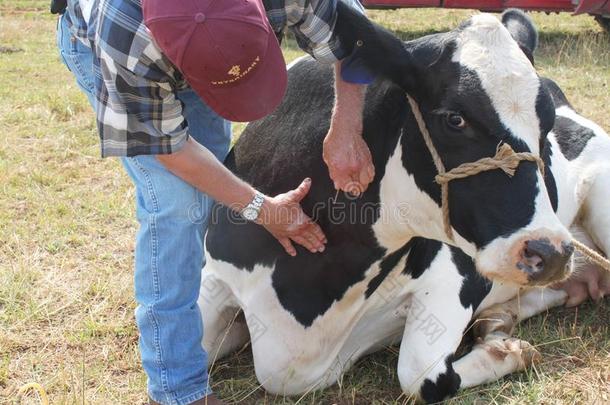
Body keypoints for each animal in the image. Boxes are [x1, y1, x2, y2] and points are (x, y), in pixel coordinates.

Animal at [194, 5, 604, 400]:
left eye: (545, 127)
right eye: (455, 119)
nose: (550, 252)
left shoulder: (455, 273)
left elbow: (418, 373)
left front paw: (507, 352)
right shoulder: (215, 276)